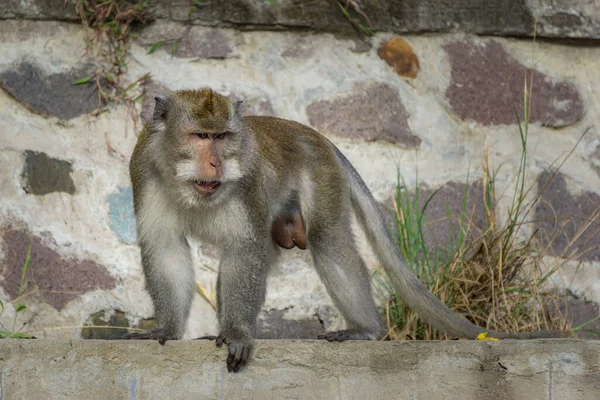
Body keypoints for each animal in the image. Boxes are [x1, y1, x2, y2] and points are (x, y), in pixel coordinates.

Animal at [126, 87, 568, 372]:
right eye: (200, 136)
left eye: (222, 137)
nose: (217, 162)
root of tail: (312, 133)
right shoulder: (144, 170)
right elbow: (165, 248)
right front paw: (166, 329)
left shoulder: (247, 182)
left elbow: (243, 250)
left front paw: (236, 332)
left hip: (320, 175)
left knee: (328, 240)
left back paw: (366, 332)